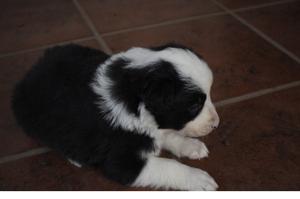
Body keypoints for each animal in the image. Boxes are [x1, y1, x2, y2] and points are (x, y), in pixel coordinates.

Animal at [12, 44, 220, 191]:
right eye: (194, 105)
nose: (216, 124)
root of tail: (30, 73)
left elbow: (170, 135)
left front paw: (191, 145)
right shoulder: (122, 163)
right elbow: (169, 166)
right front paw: (198, 178)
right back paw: (75, 157)